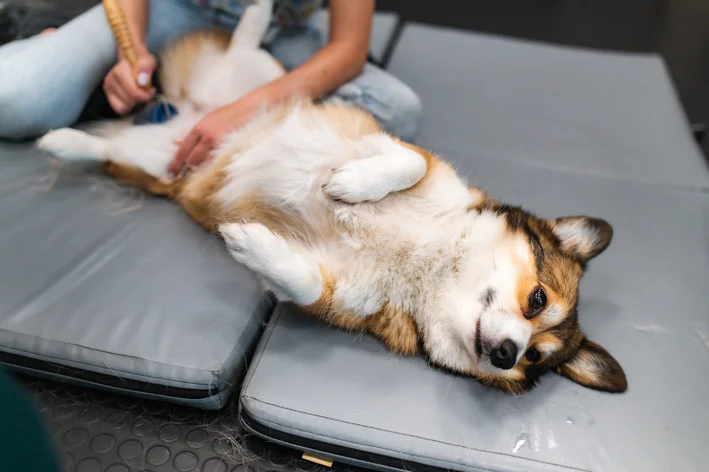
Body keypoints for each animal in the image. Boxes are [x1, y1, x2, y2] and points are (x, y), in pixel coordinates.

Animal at [37, 0, 624, 394]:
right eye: (537, 299)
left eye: (534, 357)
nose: (505, 354)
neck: (434, 264)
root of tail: (186, 113)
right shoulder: (411, 157)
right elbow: (405, 163)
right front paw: (348, 185)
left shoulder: (334, 290)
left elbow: (298, 279)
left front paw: (250, 245)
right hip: (257, 83)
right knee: (247, 53)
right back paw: (257, 14)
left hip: (159, 165)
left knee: (103, 151)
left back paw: (64, 141)